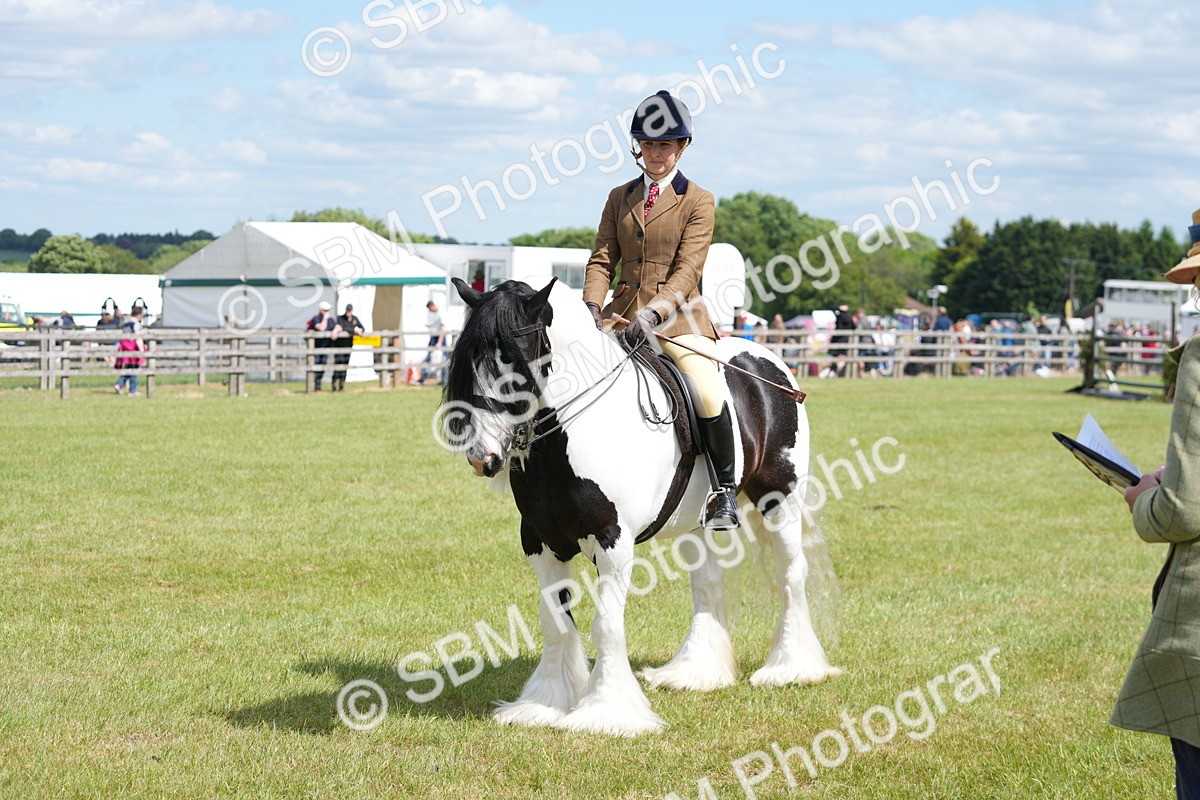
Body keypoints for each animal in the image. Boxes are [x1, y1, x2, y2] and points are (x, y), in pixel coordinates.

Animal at [439, 277, 840, 736]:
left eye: (512, 366)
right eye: (467, 365)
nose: (481, 457)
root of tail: (771, 364)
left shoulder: (613, 542)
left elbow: (605, 624)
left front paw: (605, 711)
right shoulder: (540, 542)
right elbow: (555, 622)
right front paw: (544, 704)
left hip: (780, 501)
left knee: (791, 576)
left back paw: (791, 668)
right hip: (698, 524)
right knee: (707, 585)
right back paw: (695, 673)